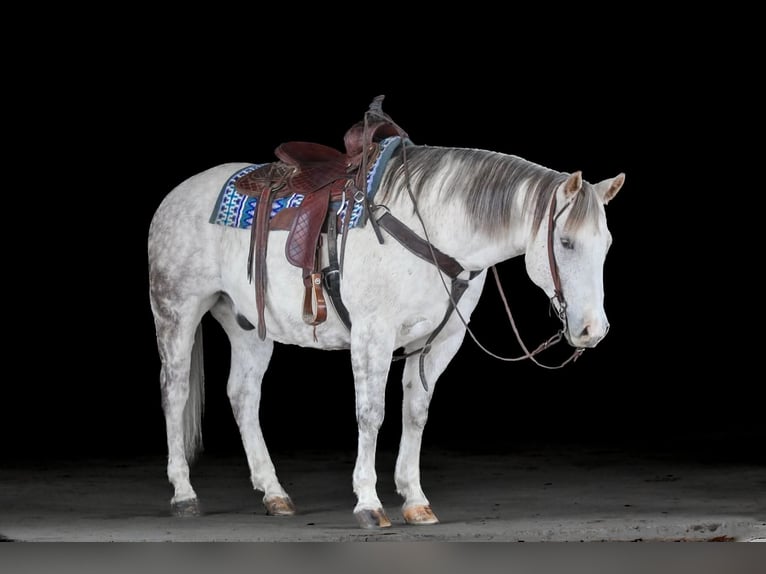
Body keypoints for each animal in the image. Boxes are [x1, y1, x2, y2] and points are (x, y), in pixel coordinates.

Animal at [147, 102, 625, 529]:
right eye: (565, 242)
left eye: (606, 244)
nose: (593, 329)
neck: (431, 227)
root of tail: (174, 197)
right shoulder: (372, 335)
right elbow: (371, 413)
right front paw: (368, 502)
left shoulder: (440, 340)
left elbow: (415, 411)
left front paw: (415, 500)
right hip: (176, 311)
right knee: (175, 392)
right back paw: (184, 494)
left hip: (249, 326)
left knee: (243, 395)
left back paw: (274, 493)